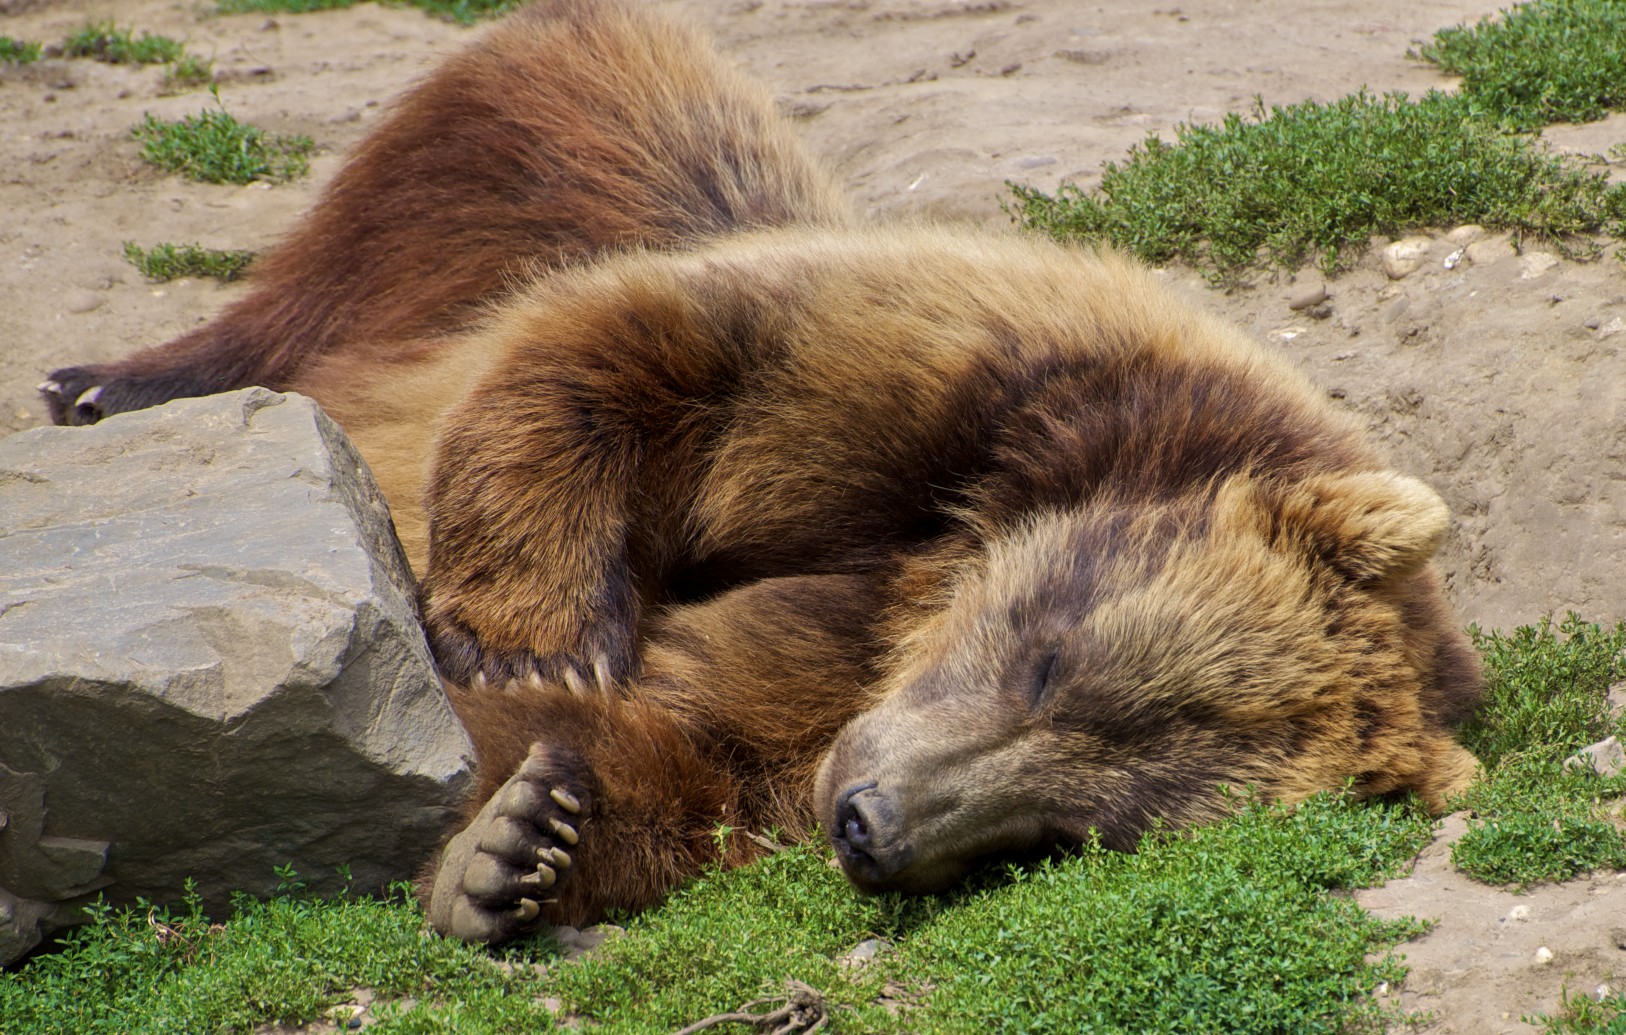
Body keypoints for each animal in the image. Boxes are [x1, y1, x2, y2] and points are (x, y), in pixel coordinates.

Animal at [38, 0, 1489, 942]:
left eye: (1076, 828)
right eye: (1048, 660)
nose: (869, 821)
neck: (941, 562)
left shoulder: (833, 670)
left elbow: (691, 744)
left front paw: (513, 843)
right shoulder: (934, 397)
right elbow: (654, 358)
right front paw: (531, 646)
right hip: (549, 163)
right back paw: (102, 383)